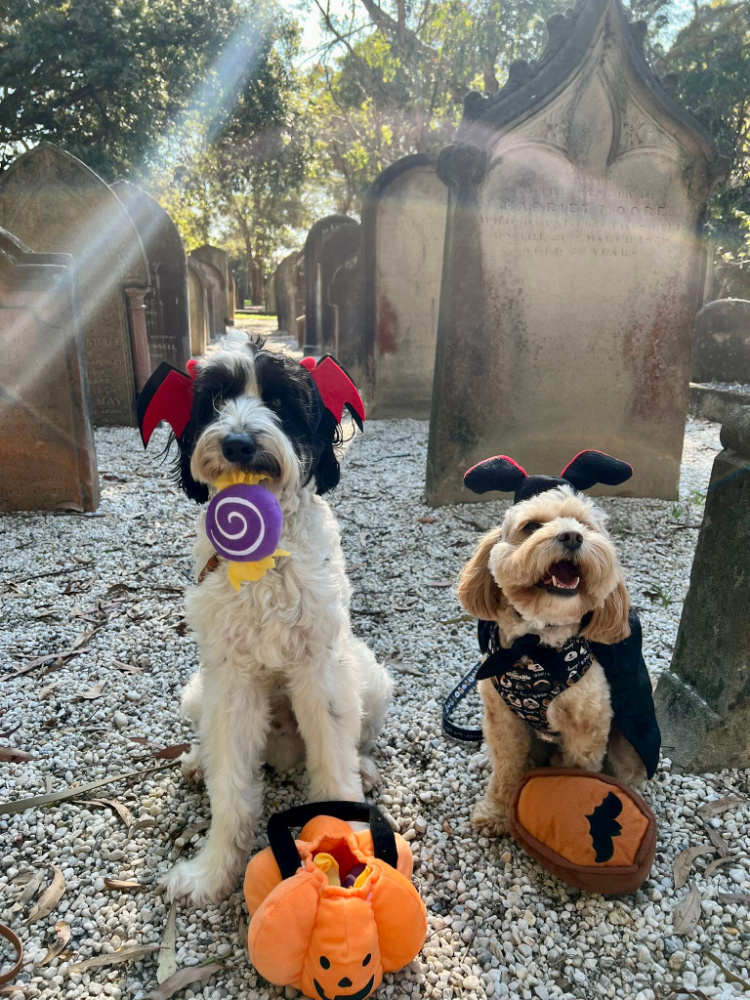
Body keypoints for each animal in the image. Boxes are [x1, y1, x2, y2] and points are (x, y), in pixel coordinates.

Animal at [160, 334, 394, 908]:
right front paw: (211, 873)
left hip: (368, 676)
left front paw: (351, 852)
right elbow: (231, 791)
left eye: (281, 400)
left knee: (356, 739)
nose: (239, 443)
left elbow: (334, 766)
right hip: (198, 691)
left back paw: (367, 768)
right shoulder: (231, 681)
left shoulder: (321, 671)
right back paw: (197, 760)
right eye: (216, 398)